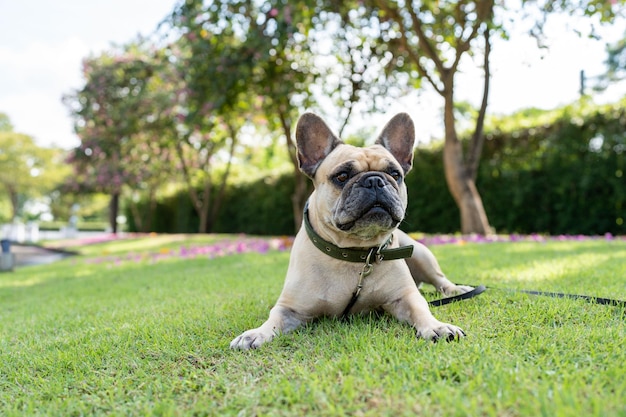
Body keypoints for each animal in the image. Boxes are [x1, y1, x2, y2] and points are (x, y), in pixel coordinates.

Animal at [230, 112, 472, 350]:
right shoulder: (289, 308)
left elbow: (421, 310)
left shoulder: (405, 297)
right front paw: (255, 334)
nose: (375, 180)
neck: (354, 252)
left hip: (421, 254)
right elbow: (273, 319)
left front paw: (438, 326)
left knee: (440, 280)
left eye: (395, 174)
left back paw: (456, 289)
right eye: (342, 176)